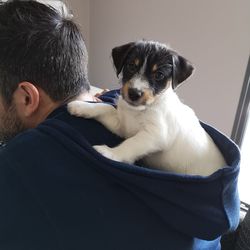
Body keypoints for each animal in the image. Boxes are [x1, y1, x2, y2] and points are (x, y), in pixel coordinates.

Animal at [68, 40, 227, 176]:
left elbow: (131, 143)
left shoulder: (155, 134)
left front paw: (109, 153)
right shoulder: (122, 126)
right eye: (131, 66)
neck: (140, 111)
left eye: (159, 75)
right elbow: (104, 107)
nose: (134, 93)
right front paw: (80, 106)